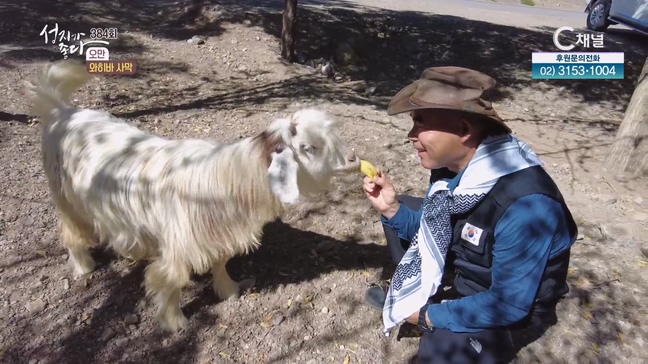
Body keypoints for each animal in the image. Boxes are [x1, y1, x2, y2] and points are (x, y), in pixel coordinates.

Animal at [27, 60, 362, 332]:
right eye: (309, 147)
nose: (353, 160)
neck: (230, 177)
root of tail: (61, 111)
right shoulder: (179, 241)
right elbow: (170, 279)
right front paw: (174, 322)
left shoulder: (216, 234)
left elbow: (221, 261)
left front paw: (228, 290)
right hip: (67, 197)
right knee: (71, 231)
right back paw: (84, 265)